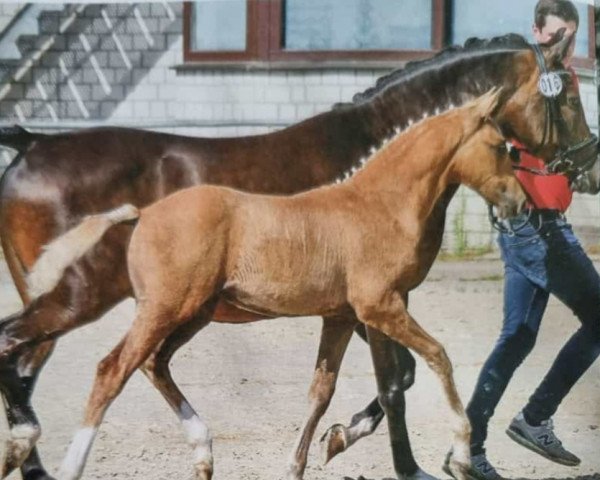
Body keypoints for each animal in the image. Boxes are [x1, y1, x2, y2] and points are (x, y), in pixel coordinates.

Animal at [0, 31, 592, 480]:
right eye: (566, 97)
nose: (586, 165)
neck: (374, 188)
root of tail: (30, 144)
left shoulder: (346, 312)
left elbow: (339, 388)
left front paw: (329, 445)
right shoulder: (377, 305)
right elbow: (404, 377)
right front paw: (425, 462)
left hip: (182, 310)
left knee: (129, 361)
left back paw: (195, 450)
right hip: (97, 296)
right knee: (73, 363)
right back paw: (43, 455)